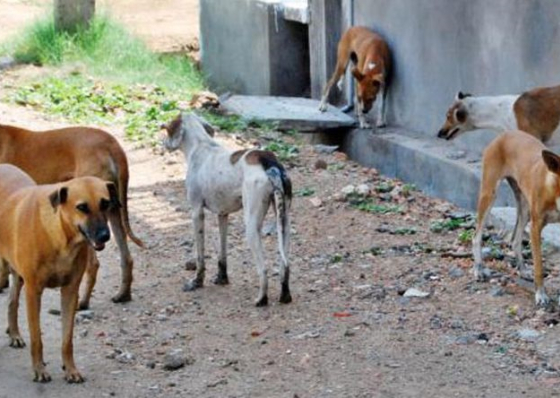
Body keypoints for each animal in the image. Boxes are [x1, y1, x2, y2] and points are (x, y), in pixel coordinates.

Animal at [0, 124, 142, 308]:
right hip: (112, 211)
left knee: (94, 264)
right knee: (127, 258)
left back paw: (83, 301)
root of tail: (111, 143)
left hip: (91, 224)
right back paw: (123, 294)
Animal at [0, 164, 117, 382]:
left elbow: (67, 339)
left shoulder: (70, 291)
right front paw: (39, 369)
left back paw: (14, 334)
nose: (105, 235)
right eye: (82, 207)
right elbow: (36, 337)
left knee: (12, 302)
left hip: (18, 274)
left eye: (105, 203)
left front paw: (70, 369)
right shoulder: (33, 292)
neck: (61, 237)